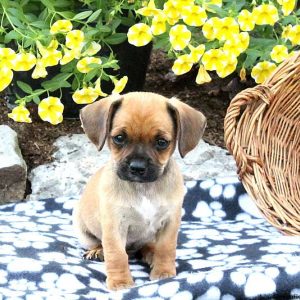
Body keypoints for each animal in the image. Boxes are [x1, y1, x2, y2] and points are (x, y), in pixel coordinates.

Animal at [72, 92, 206, 290]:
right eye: (119, 138)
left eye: (162, 142)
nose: (137, 167)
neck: (144, 188)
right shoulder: (114, 227)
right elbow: (117, 255)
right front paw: (120, 282)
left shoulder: (170, 223)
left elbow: (166, 249)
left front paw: (163, 272)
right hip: (83, 231)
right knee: (99, 244)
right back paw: (97, 251)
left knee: (148, 245)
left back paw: (150, 253)